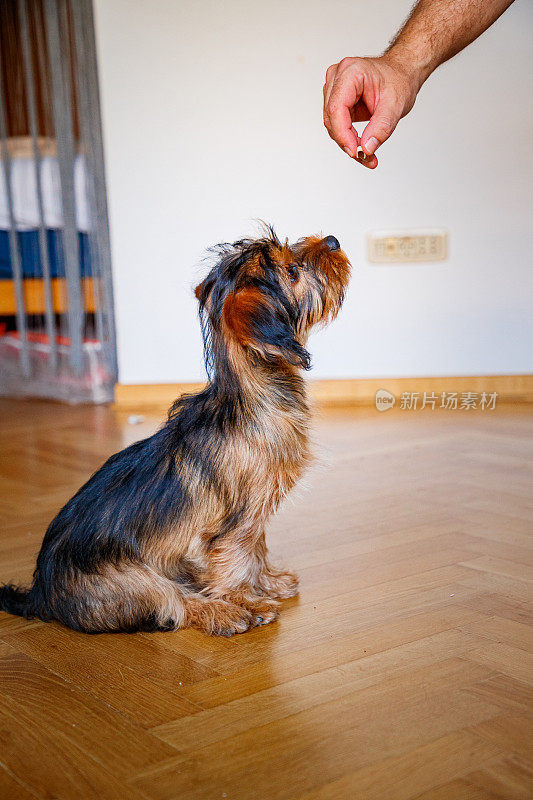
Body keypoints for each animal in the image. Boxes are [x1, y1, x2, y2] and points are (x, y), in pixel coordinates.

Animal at [0, 227, 352, 636]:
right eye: (292, 272)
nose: (332, 240)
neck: (250, 394)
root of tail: (40, 595)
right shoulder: (237, 520)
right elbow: (237, 559)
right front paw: (246, 598)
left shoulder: (252, 513)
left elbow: (257, 548)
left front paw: (268, 583)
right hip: (133, 578)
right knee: (175, 603)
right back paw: (224, 613)